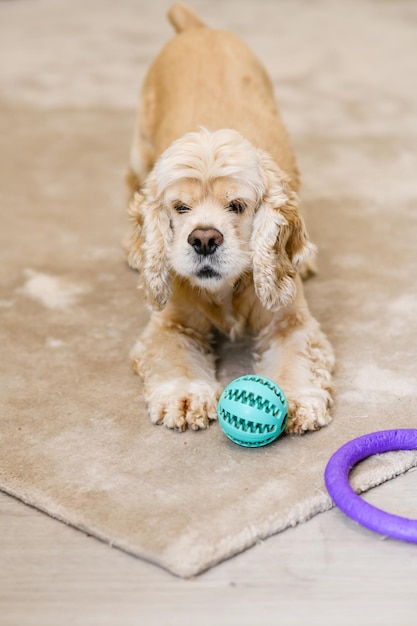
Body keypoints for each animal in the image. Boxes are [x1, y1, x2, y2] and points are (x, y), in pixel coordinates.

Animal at [125, 3, 334, 434]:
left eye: (236, 206)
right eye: (180, 208)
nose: (204, 239)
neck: (226, 289)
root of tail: (196, 29)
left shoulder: (289, 321)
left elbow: (297, 358)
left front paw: (298, 400)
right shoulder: (170, 325)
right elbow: (174, 359)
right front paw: (185, 397)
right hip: (139, 150)